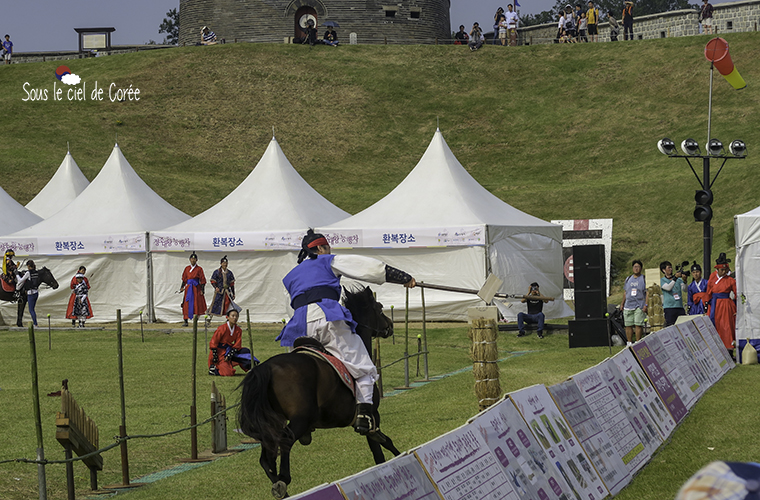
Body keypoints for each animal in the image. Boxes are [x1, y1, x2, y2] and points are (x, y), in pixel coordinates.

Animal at [240, 288, 400, 498]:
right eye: (379, 308)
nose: (390, 325)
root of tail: (266, 367)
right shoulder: (373, 416)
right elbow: (382, 448)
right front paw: (398, 458)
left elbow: (383, 443)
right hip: (301, 418)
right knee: (285, 441)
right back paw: (284, 480)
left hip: (272, 423)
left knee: (267, 458)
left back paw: (281, 488)